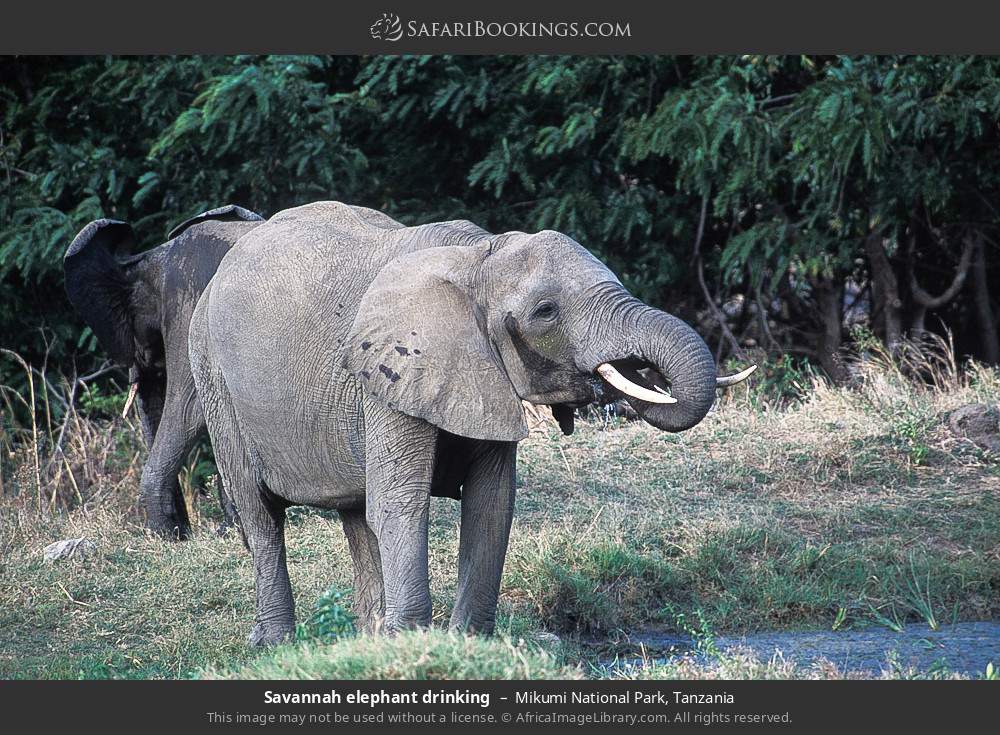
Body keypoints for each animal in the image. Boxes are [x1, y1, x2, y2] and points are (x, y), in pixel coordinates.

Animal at [64, 205, 265, 538]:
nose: (181, 531)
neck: (154, 255)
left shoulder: (186, 305)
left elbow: (187, 406)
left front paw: (167, 534)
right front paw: (228, 529)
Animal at [188, 201, 754, 644]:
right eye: (546, 311)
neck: (480, 255)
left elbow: (491, 505)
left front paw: (463, 645)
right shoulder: (392, 372)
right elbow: (402, 505)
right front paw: (414, 645)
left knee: (356, 514)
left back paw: (367, 641)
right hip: (212, 376)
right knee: (261, 514)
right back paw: (275, 644)